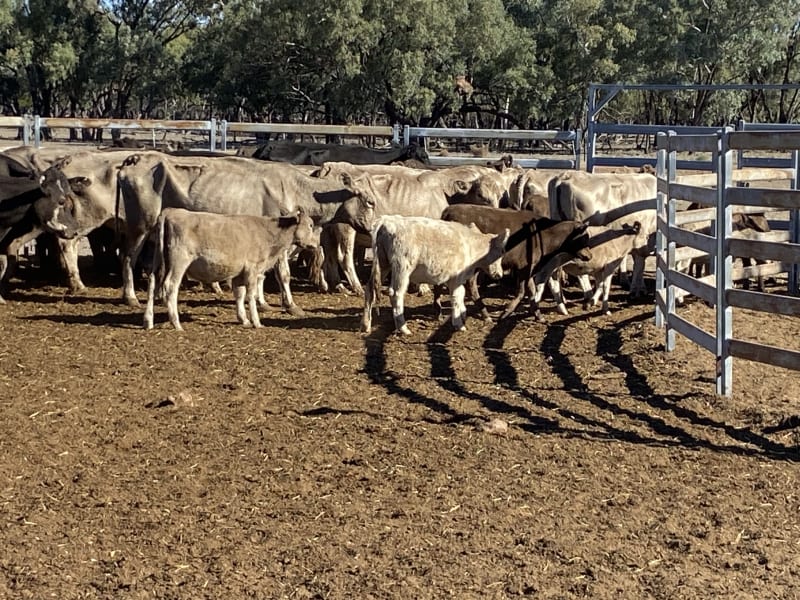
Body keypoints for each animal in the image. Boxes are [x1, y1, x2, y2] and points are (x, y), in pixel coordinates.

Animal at [143, 208, 319, 330]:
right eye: (310, 225)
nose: (317, 243)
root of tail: (169, 211)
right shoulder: (252, 269)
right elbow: (251, 295)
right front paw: (256, 322)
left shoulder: (239, 273)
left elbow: (239, 294)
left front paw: (244, 319)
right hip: (179, 261)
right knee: (170, 286)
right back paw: (176, 323)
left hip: (158, 260)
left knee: (152, 282)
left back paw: (148, 320)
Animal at [361, 215, 510, 335]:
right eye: (502, 251)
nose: (500, 274)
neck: (470, 246)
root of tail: (386, 221)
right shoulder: (456, 278)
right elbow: (456, 297)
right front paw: (459, 324)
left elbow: (461, 295)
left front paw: (462, 315)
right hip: (402, 268)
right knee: (396, 294)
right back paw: (403, 328)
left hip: (383, 264)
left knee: (369, 289)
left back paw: (366, 325)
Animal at [439, 204, 593, 321]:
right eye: (583, 238)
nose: (590, 256)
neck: (543, 234)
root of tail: (448, 210)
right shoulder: (523, 267)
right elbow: (522, 291)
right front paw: (506, 312)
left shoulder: (530, 268)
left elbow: (532, 291)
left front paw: (538, 315)